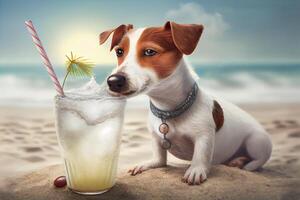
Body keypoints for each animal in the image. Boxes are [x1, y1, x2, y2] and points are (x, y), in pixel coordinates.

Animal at [99, 21, 274, 184]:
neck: (168, 109)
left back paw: (241, 163)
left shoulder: (204, 136)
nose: (113, 81)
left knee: (258, 161)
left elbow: (201, 155)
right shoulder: (156, 138)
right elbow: (159, 160)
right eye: (119, 51)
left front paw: (196, 170)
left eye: (150, 51)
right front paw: (147, 164)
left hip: (257, 142)